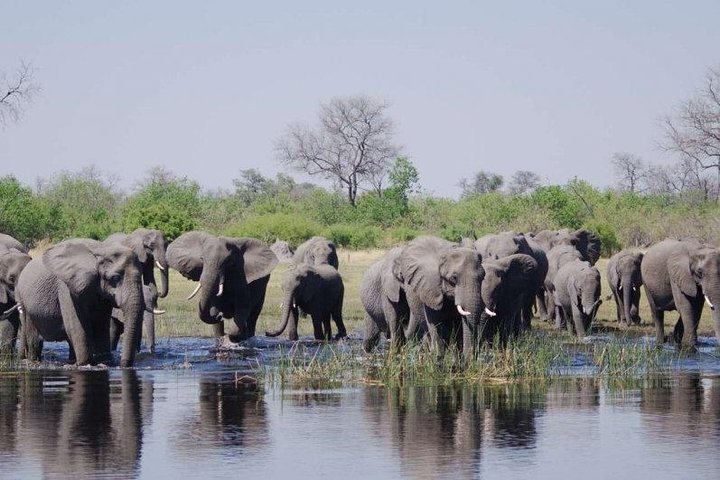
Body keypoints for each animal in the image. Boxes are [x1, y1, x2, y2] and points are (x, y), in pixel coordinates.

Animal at [15, 238, 145, 366]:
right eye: (115, 278)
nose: (123, 364)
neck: (101, 250)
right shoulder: (66, 287)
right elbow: (76, 326)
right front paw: (85, 364)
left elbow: (101, 326)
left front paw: (105, 362)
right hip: (25, 303)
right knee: (34, 338)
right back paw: (33, 360)